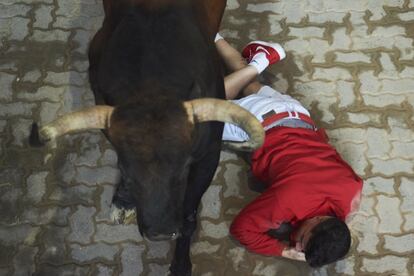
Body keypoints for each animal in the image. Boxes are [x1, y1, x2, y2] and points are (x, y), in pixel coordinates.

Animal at [29, 0, 264, 274]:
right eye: (127, 171)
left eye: (183, 169)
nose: (160, 232)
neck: (153, 82)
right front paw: (123, 200)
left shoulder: (208, 156)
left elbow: (189, 215)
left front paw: (181, 264)